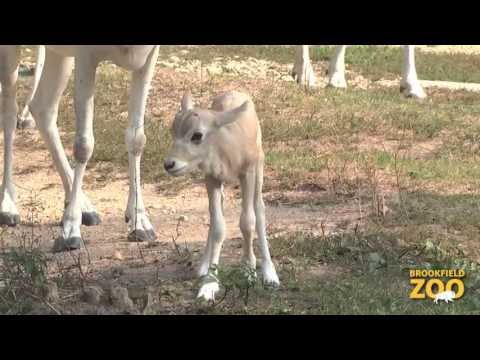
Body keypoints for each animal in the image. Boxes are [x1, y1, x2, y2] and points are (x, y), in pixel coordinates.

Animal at [164, 90, 280, 300]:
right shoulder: (212, 178)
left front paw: (249, 271)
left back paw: (269, 274)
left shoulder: (247, 173)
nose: (169, 164)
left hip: (259, 168)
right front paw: (209, 283)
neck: (227, 145)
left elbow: (247, 222)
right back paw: (203, 267)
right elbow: (218, 226)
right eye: (173, 130)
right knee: (215, 216)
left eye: (197, 135)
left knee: (259, 208)